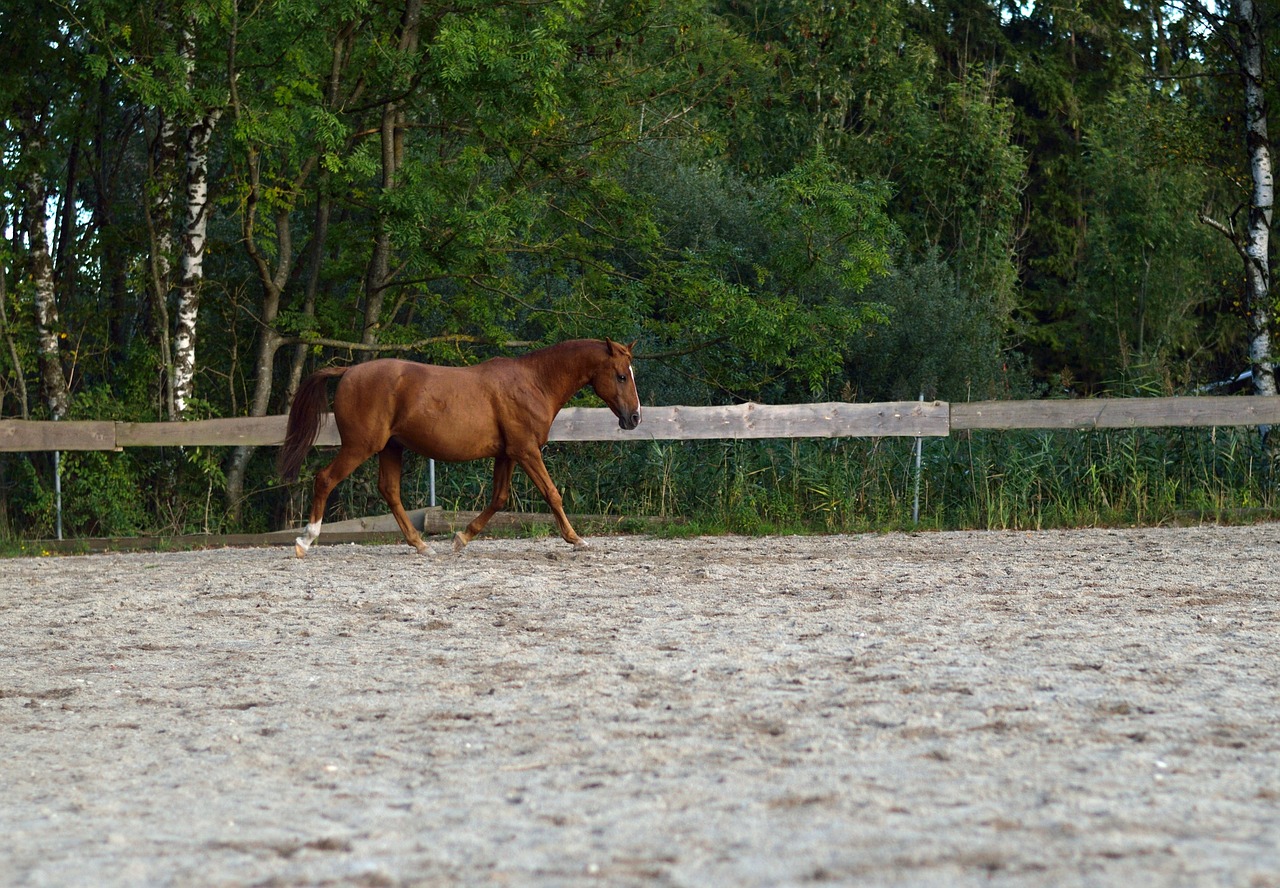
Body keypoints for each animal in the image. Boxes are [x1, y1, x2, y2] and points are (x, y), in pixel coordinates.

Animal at [279, 340, 640, 557]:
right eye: (621, 376)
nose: (634, 418)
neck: (534, 382)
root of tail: (349, 370)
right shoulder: (526, 451)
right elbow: (552, 494)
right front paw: (576, 539)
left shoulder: (507, 454)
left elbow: (499, 498)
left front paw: (461, 537)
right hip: (361, 445)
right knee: (325, 479)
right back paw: (304, 541)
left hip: (390, 448)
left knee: (390, 491)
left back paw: (421, 545)